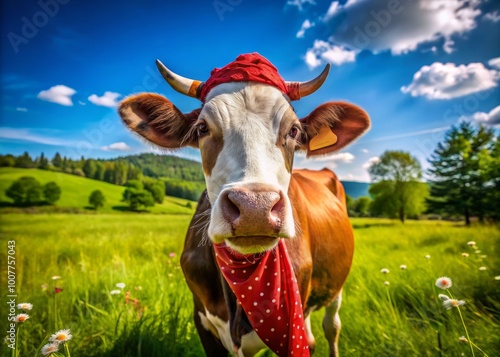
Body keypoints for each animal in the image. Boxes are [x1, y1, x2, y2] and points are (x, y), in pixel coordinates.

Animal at [119, 53, 370, 356]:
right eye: (202, 128)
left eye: (294, 130)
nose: (255, 208)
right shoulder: (203, 323)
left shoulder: (295, 332)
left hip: (335, 289)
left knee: (331, 327)